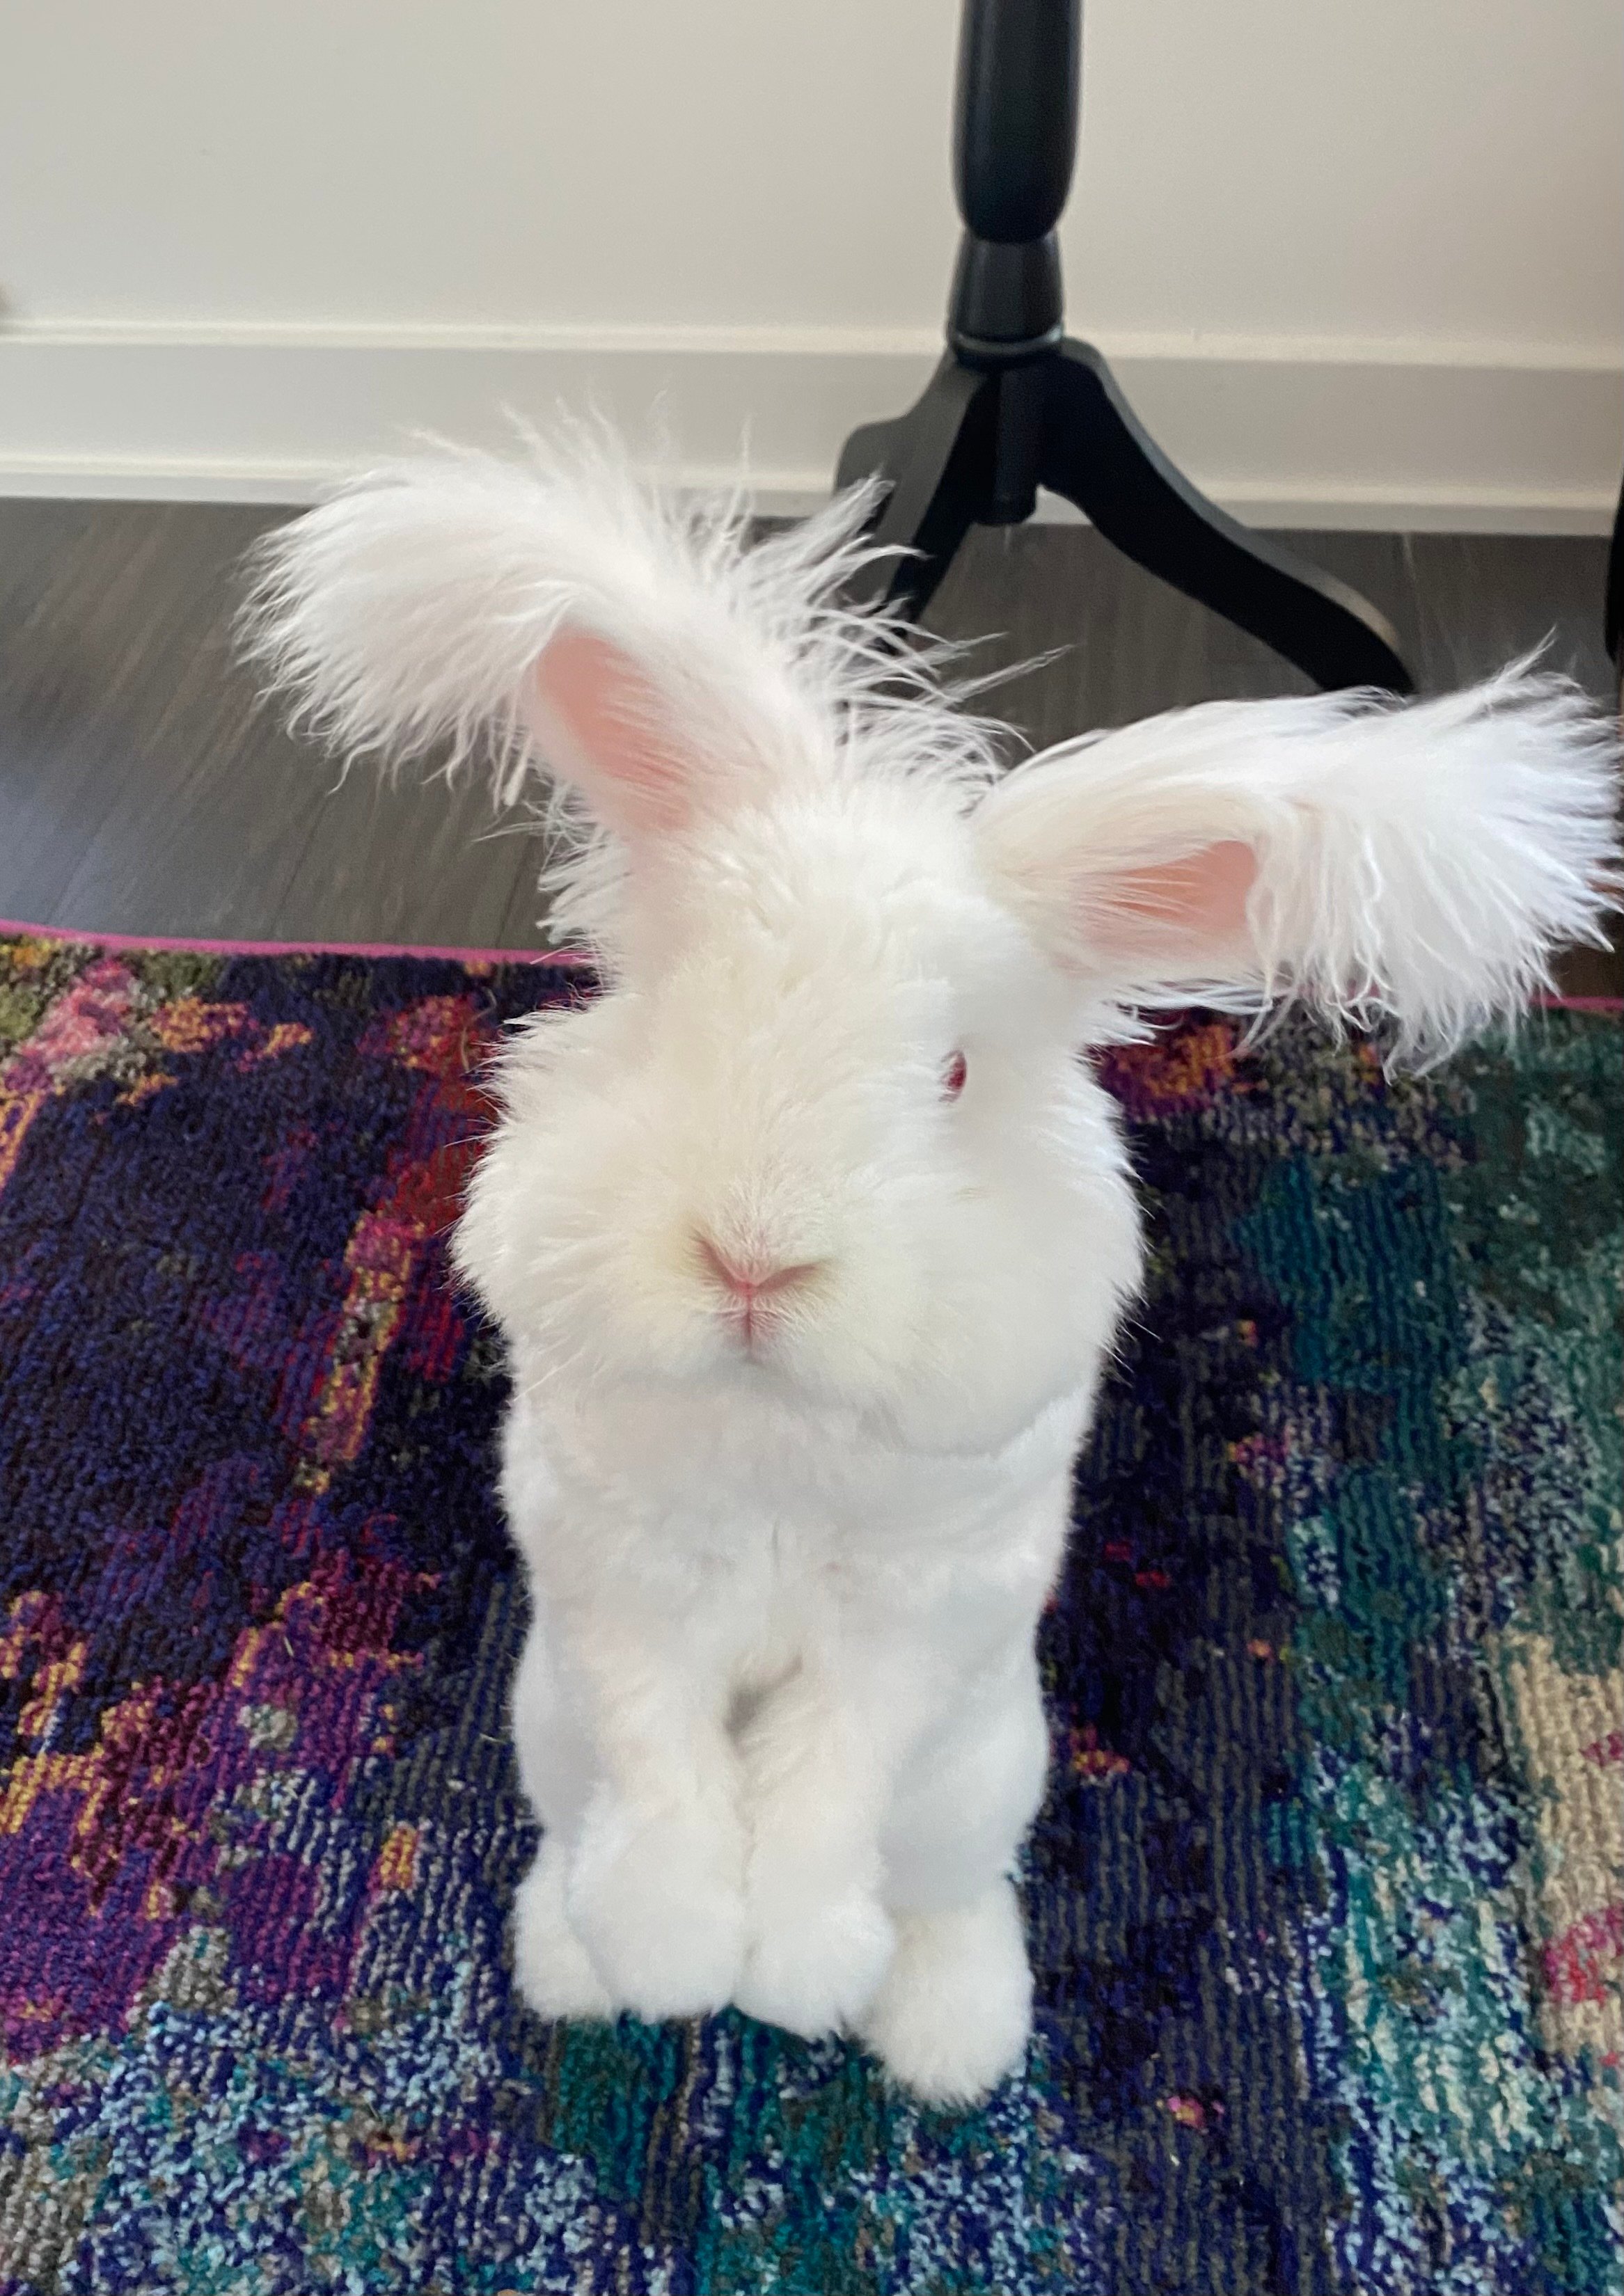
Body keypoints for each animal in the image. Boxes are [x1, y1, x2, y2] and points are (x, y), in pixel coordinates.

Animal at [244, 432, 1624, 2103]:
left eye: (957, 1071)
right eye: (674, 1013)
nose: (753, 1258)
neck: (776, 1430)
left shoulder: (913, 1618)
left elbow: (822, 1782)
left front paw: (794, 1977)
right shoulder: (619, 1586)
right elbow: (670, 1768)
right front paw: (670, 1955)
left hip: (981, 1774)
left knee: (950, 1889)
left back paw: (947, 2040)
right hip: (544, 1724)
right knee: (579, 1823)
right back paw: (573, 1963)